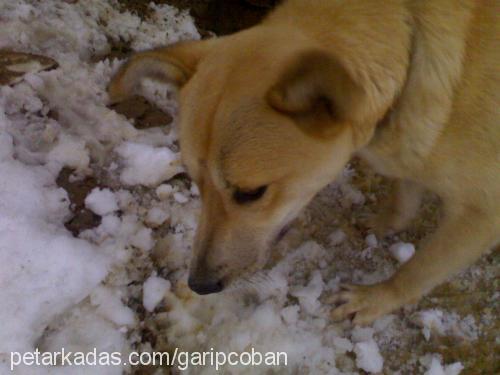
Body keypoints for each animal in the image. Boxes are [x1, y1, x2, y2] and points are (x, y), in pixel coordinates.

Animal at [107, 0, 498, 324]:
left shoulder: (480, 216)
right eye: (194, 182)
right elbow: (404, 195)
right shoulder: (410, 154)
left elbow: (418, 270)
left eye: (251, 193)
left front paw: (374, 299)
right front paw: (385, 223)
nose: (199, 285)